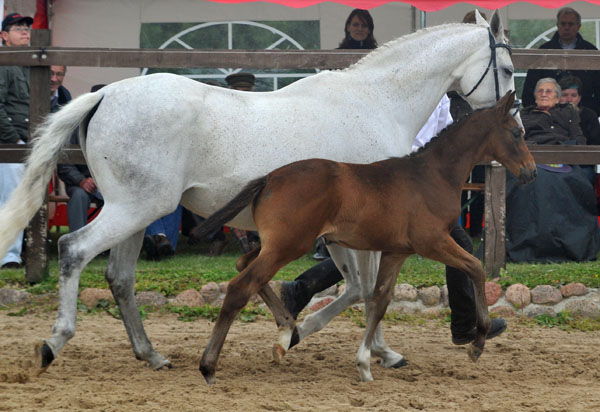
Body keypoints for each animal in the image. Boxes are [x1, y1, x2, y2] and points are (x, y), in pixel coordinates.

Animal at [193, 90, 540, 384]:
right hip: (288, 245)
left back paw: (288, 331)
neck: (431, 175)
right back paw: (210, 365)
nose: (531, 172)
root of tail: (268, 179)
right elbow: (476, 268)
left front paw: (365, 362)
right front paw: (477, 343)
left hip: (277, 244)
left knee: (244, 264)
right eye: (517, 133)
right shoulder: (433, 242)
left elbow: (380, 298)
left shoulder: (397, 251)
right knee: (241, 286)